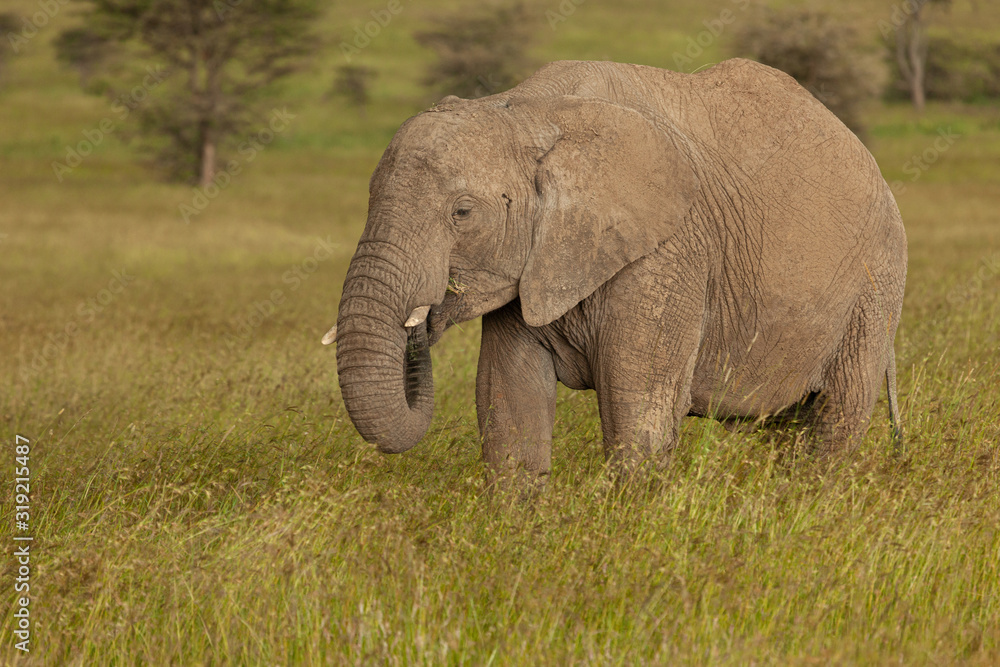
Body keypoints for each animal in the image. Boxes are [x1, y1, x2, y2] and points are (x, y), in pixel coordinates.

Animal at [326, 60, 908, 488]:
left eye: (462, 213)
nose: (422, 321)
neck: (531, 109)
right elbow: (508, 397)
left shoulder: (669, 253)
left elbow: (638, 409)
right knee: (789, 424)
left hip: (876, 282)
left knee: (836, 416)